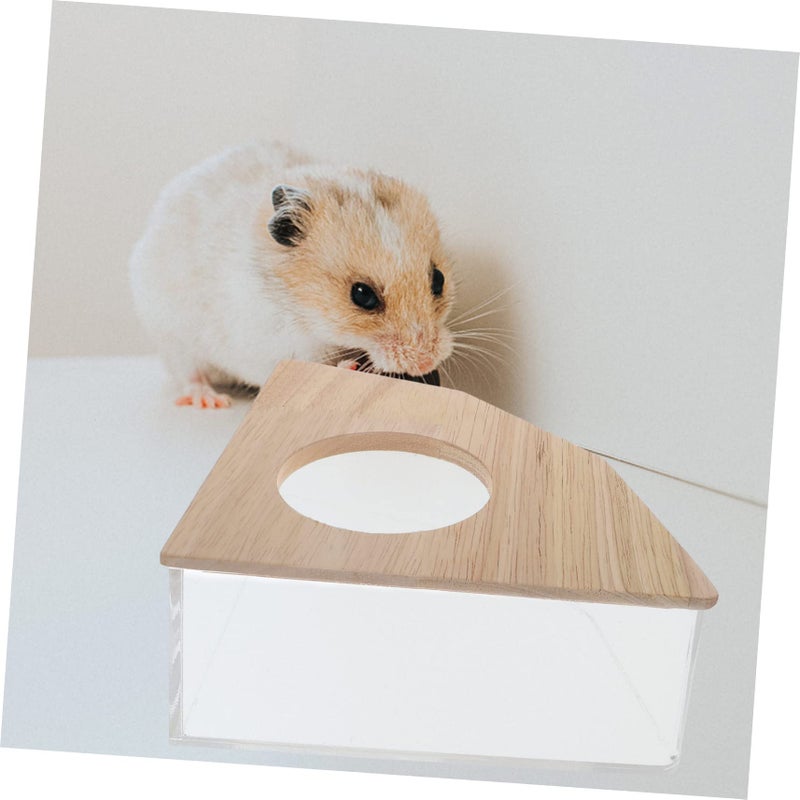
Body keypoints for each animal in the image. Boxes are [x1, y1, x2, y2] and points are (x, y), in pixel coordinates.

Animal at [129, 142, 456, 408]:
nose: (424, 363)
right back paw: (210, 400)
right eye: (362, 295)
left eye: (438, 280)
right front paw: (348, 367)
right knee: (188, 374)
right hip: (173, 336)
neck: (305, 311)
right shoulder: (272, 343)